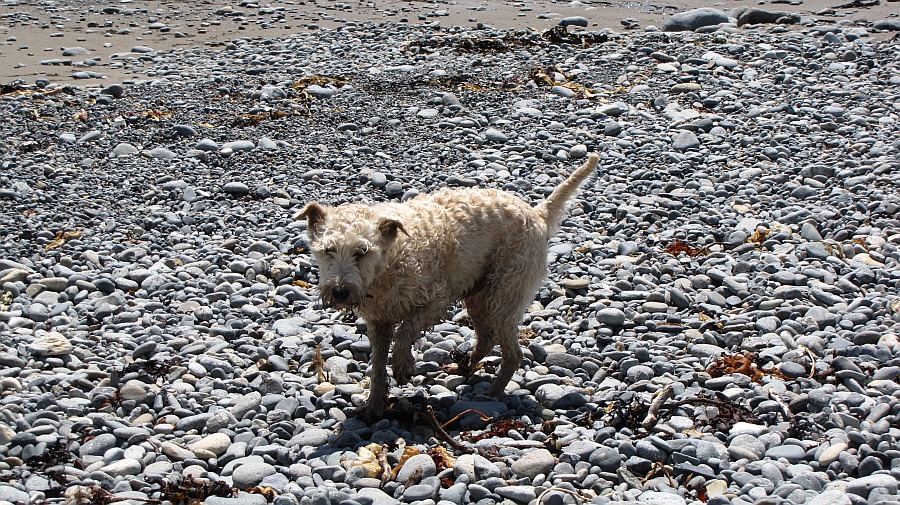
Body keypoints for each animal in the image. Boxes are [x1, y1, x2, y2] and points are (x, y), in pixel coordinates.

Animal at [298, 153, 600, 418]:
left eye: (362, 252)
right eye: (328, 250)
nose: (340, 291)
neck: (388, 263)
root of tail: (537, 213)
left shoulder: (436, 299)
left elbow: (406, 332)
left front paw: (403, 366)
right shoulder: (378, 322)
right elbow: (378, 366)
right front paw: (374, 404)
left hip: (504, 294)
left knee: (513, 353)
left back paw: (493, 391)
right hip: (479, 296)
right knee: (487, 339)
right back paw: (464, 367)